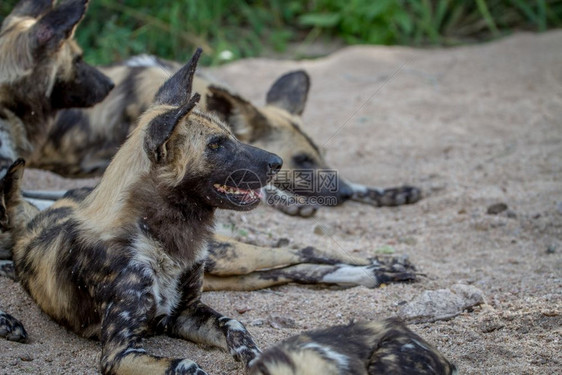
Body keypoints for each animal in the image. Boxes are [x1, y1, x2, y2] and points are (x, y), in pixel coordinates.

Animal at [0, 48, 280, 374]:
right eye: (216, 145)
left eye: (229, 137)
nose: (278, 162)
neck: (163, 240)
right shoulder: (121, 351)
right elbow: (186, 364)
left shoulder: (185, 312)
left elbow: (236, 325)